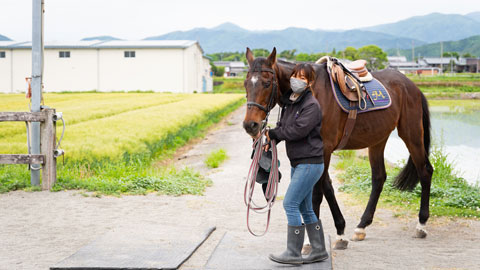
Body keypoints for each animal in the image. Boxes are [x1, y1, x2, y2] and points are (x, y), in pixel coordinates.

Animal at [242, 47, 434, 250]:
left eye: (266, 83)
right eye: (246, 83)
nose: (250, 125)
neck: (311, 92)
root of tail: (412, 86)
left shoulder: (324, 149)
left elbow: (317, 193)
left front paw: (315, 238)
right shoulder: (320, 153)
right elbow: (326, 187)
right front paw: (339, 231)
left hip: (412, 134)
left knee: (425, 171)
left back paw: (421, 224)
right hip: (378, 139)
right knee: (379, 178)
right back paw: (362, 226)